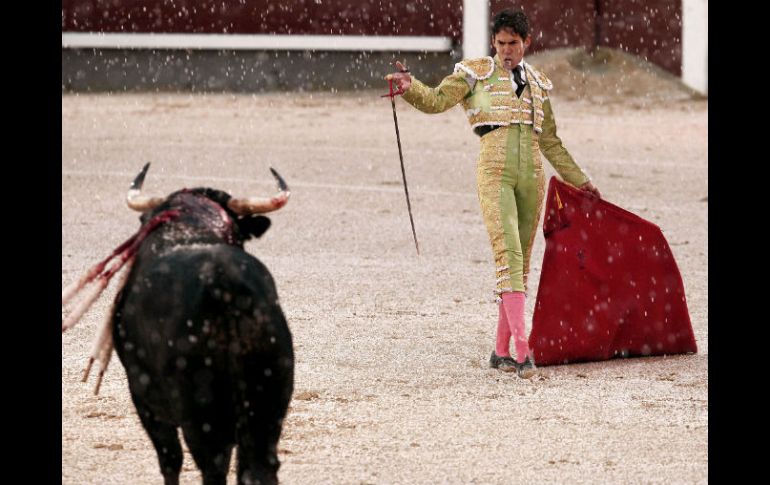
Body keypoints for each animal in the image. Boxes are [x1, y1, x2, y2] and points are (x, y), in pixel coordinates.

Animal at [112, 164, 292, 482]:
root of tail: (226, 284)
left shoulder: (145, 399)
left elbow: (170, 459)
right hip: (269, 405)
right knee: (260, 467)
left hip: (201, 415)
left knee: (212, 466)